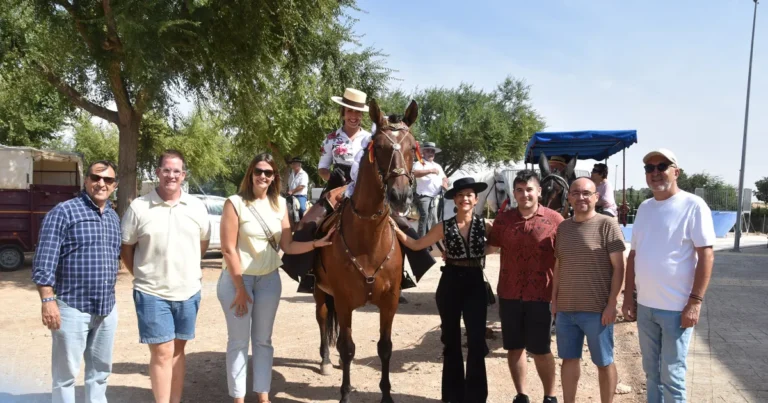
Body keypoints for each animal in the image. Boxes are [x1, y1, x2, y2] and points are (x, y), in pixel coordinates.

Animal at [313, 99, 419, 403]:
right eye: (380, 147)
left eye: (412, 147)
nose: (400, 196)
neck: (369, 239)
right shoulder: (344, 302)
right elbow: (348, 347)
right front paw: (345, 394)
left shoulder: (389, 303)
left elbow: (385, 347)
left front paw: (386, 395)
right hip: (320, 292)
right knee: (323, 321)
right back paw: (326, 361)